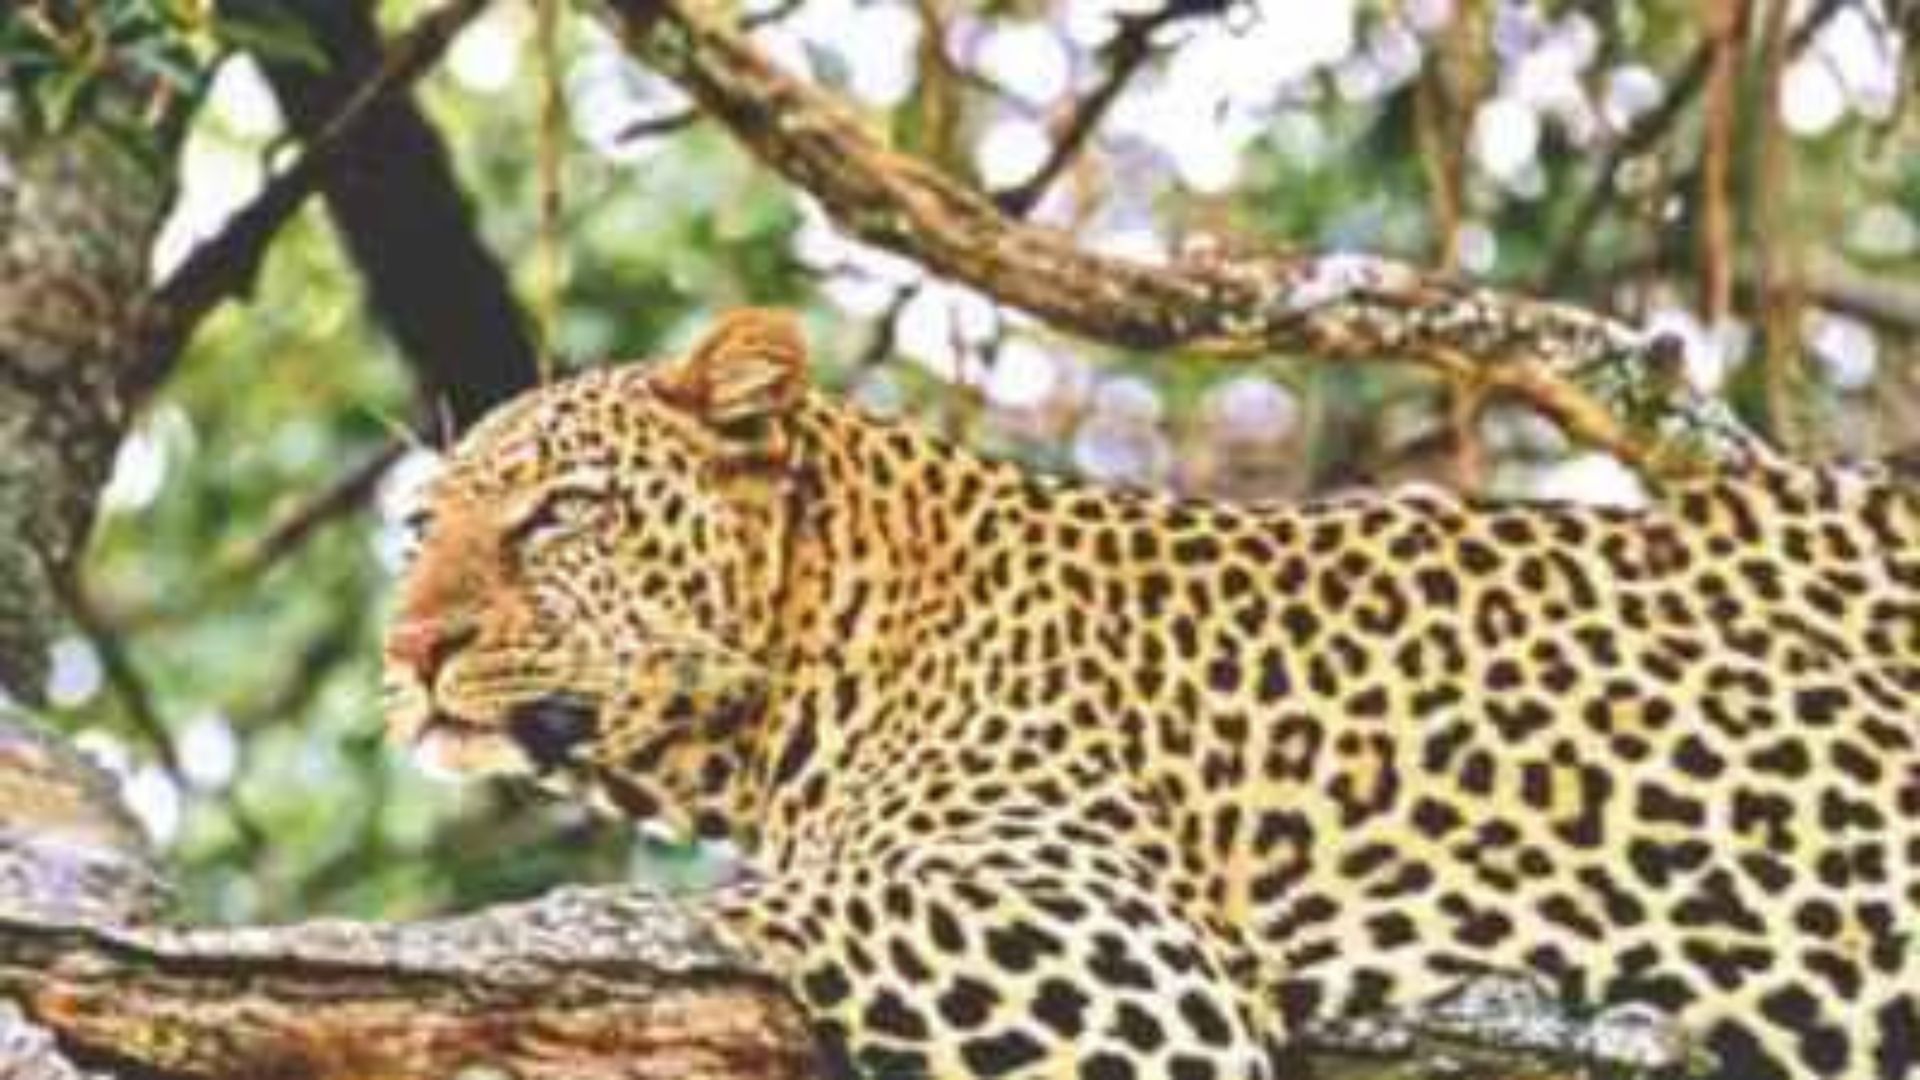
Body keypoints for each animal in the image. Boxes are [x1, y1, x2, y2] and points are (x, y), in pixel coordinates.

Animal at [382, 305, 1920, 1076]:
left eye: (562, 514)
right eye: (420, 527)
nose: (409, 651)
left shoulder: (1115, 948)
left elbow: (758, 909)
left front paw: (534, 934)